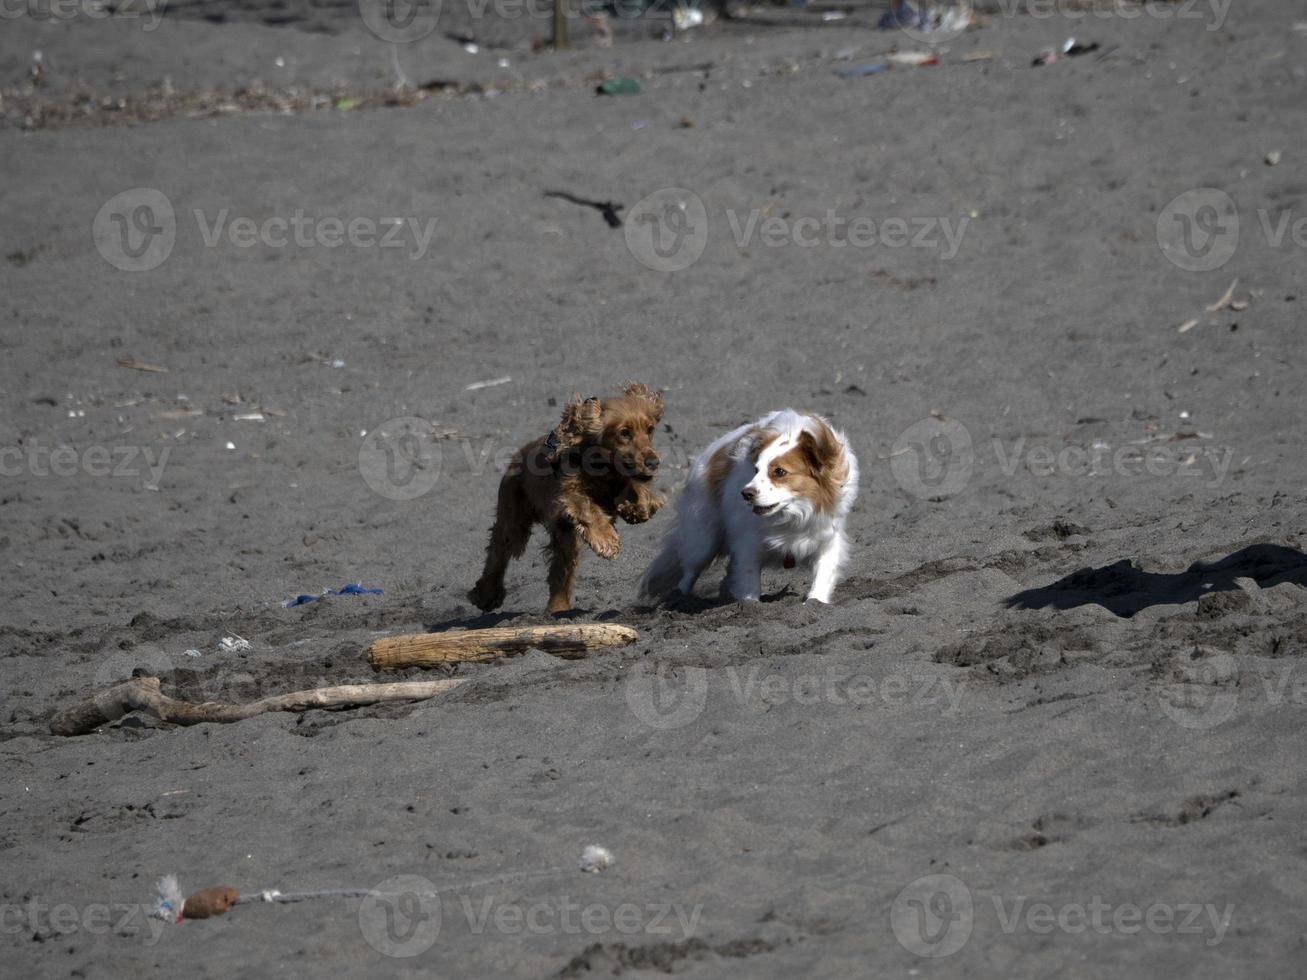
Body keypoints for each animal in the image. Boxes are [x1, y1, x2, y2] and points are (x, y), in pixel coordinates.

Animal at [470, 381, 663, 614]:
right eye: (624, 433)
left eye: (650, 429)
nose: (653, 462)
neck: (603, 469)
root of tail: (517, 456)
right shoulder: (567, 495)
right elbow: (588, 509)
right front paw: (606, 540)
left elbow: (638, 493)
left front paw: (636, 509)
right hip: (514, 522)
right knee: (498, 552)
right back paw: (487, 594)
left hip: (565, 538)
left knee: (560, 571)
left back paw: (558, 609)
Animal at [635, 407, 857, 606]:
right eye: (756, 470)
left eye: (779, 472)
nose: (746, 493)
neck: (793, 514)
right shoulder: (747, 546)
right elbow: (749, 582)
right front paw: (749, 607)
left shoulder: (826, 540)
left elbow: (823, 575)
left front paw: (815, 602)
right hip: (703, 541)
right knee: (690, 570)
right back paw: (679, 597)